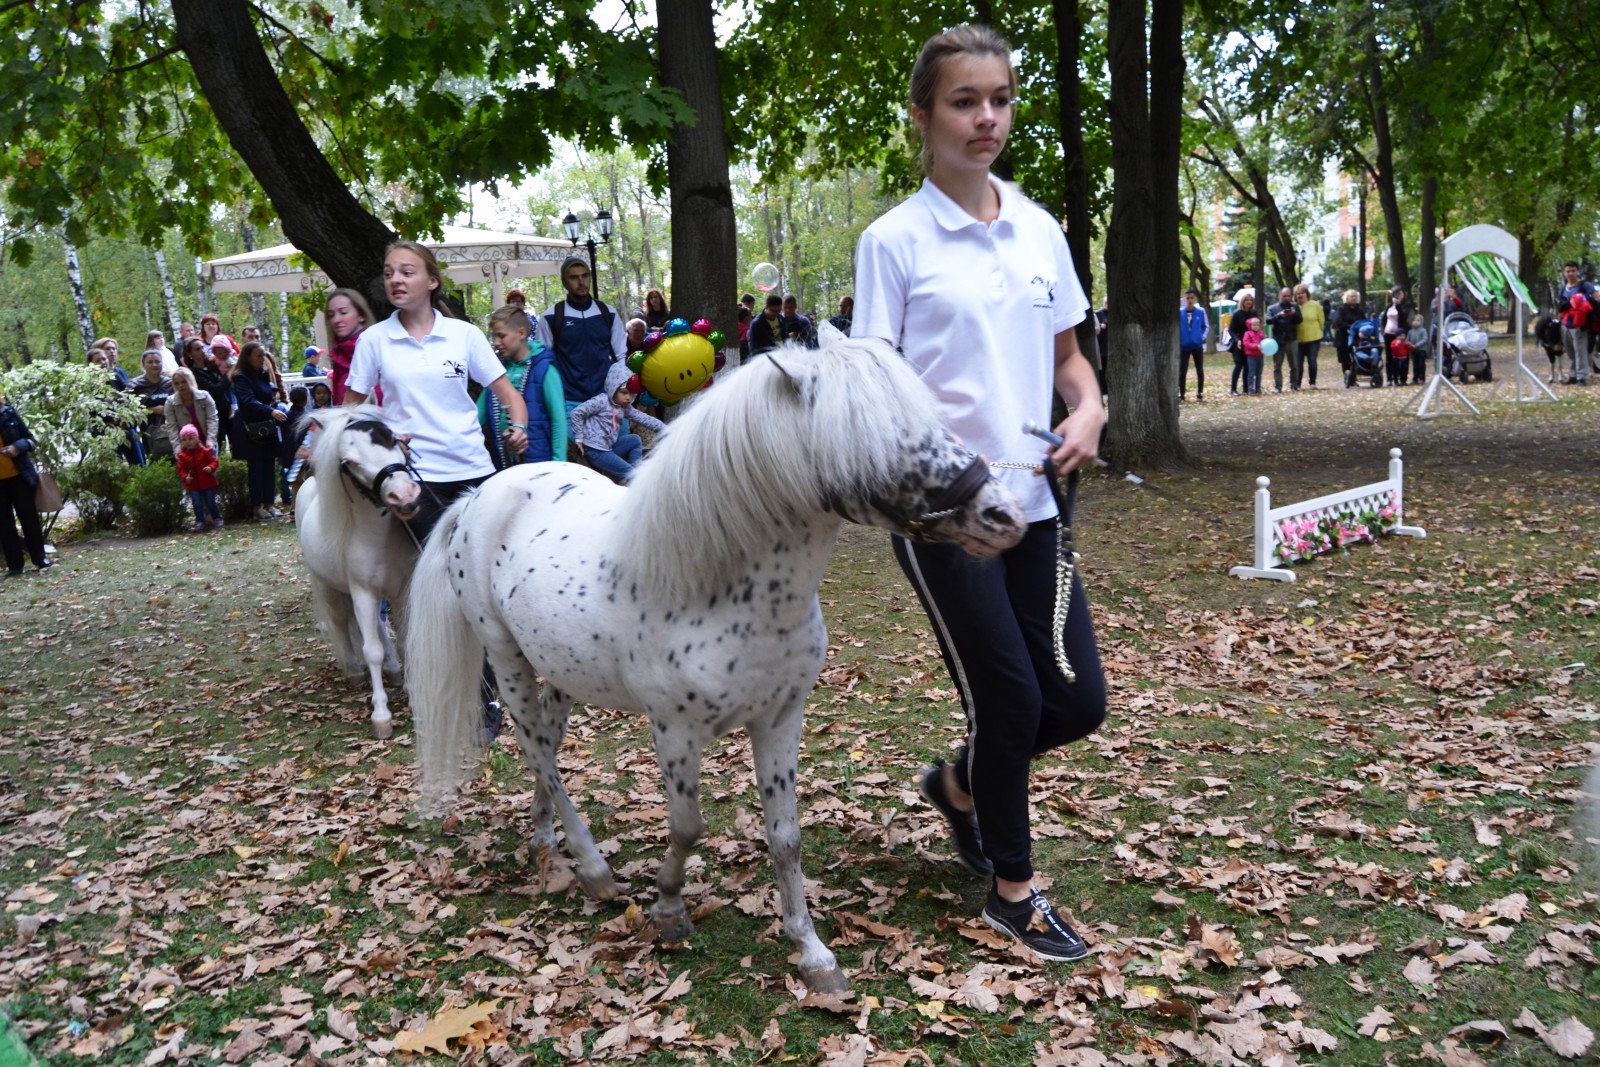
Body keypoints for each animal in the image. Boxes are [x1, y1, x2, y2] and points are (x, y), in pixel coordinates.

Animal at [294, 409, 419, 742]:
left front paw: (411, 690)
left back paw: (393, 668)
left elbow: (403, 639)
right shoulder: (362, 590)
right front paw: (381, 715)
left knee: (375, 625)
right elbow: (370, 650)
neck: (379, 538)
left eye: (392, 439)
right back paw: (353, 671)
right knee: (341, 622)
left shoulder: (401, 590)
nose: (404, 495)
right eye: (349, 462)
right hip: (331, 587)